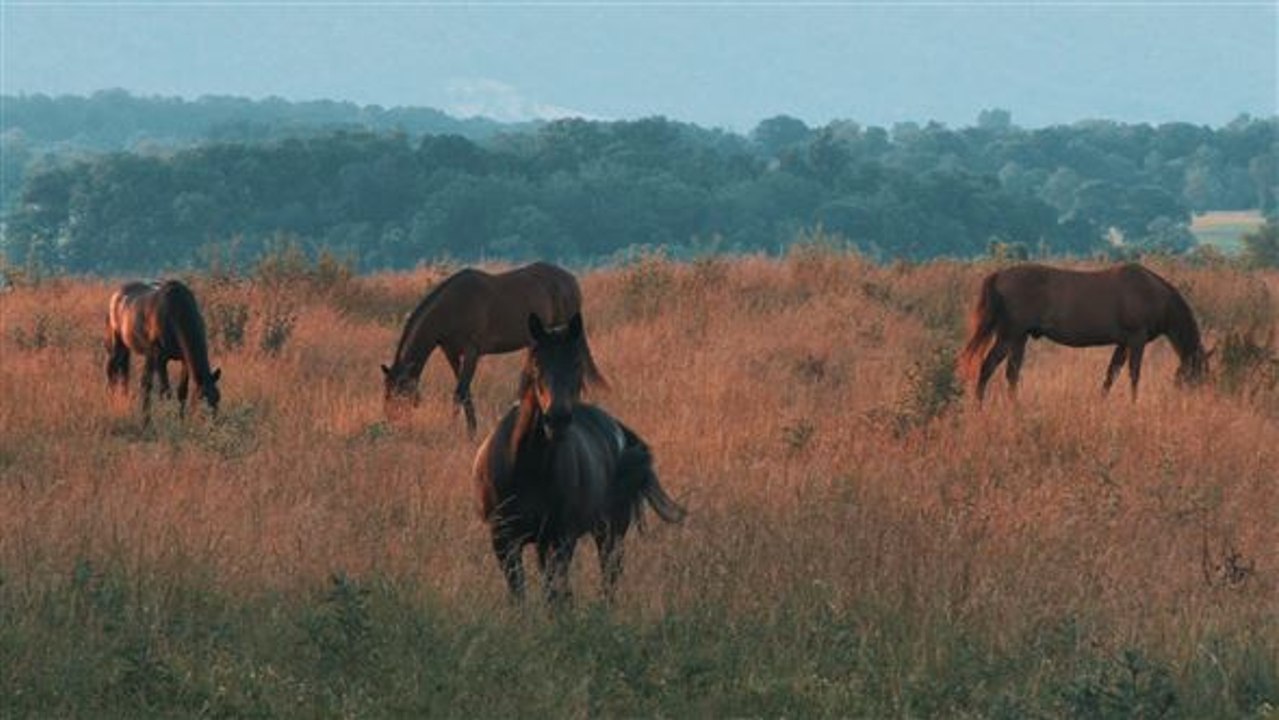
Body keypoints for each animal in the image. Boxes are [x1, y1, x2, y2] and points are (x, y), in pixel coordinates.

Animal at [106, 280, 222, 420]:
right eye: (201, 399)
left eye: (218, 398)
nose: (214, 422)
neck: (176, 312)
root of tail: (116, 295)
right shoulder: (161, 359)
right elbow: (165, 392)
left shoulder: (184, 360)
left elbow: (182, 392)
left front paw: (181, 419)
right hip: (118, 347)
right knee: (112, 372)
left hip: (136, 353)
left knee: (138, 382)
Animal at [381, 262, 606, 436]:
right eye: (386, 391)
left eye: (399, 392)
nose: (392, 424)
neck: (451, 307)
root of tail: (571, 279)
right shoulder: (451, 353)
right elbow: (465, 391)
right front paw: (472, 430)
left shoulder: (472, 352)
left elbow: (459, 392)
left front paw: (454, 430)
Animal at [472, 313, 685, 604]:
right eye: (537, 363)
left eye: (576, 363)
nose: (557, 418)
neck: (525, 466)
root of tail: (619, 430)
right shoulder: (504, 542)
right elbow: (521, 596)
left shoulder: (561, 538)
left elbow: (555, 596)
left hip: (609, 532)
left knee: (608, 578)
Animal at [959, 262, 1210, 402]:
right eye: (1197, 375)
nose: (1196, 402)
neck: (1153, 293)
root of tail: (999, 275)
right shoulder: (1136, 340)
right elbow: (1134, 375)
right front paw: (1134, 404)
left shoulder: (1123, 343)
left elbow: (1111, 374)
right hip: (1009, 336)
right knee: (987, 367)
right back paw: (980, 406)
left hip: (1020, 339)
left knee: (1011, 374)